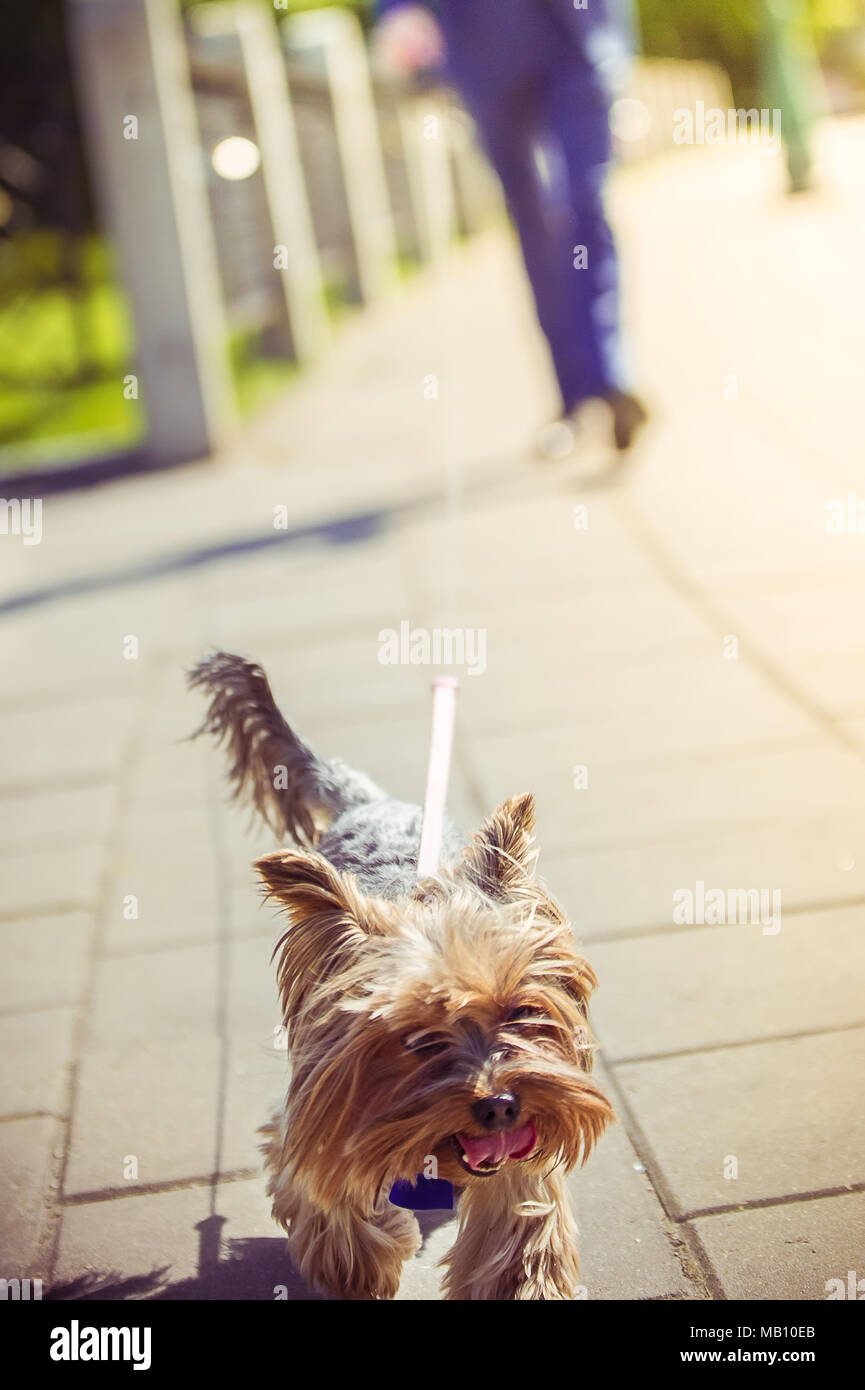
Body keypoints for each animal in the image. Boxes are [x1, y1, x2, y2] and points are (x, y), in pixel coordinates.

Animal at [189, 650, 614, 1301]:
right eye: (418, 1040)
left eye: (521, 1012)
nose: (500, 1105)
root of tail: (370, 800)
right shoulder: (321, 1107)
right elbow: (328, 1185)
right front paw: (363, 1265)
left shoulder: (528, 1144)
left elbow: (518, 1225)